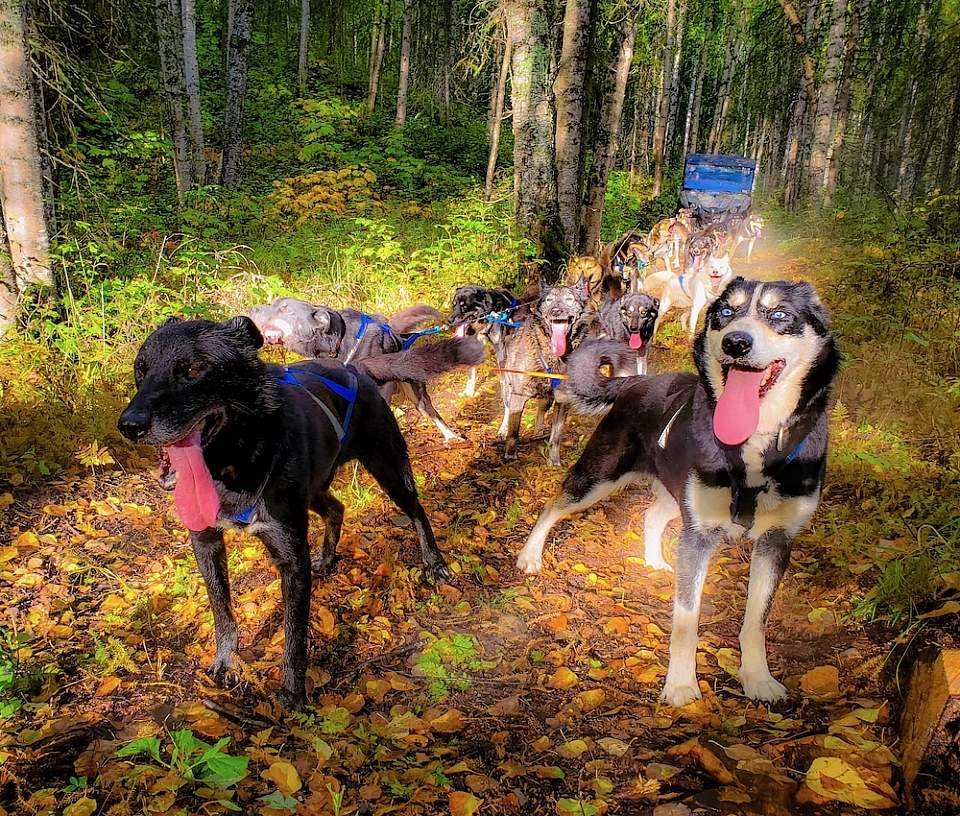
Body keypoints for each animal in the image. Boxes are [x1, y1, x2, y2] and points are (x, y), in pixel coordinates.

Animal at [118, 318, 470, 708]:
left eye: (194, 370)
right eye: (141, 370)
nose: (129, 425)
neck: (235, 461)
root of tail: (356, 369)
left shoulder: (291, 556)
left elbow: (294, 633)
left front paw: (293, 692)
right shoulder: (206, 543)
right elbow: (221, 610)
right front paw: (227, 661)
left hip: (388, 470)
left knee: (417, 511)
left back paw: (433, 563)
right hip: (313, 491)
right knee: (337, 508)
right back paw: (328, 557)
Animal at [249, 298, 470, 440]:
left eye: (284, 308)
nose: (252, 310)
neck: (337, 346)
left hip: (415, 392)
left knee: (430, 411)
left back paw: (452, 437)